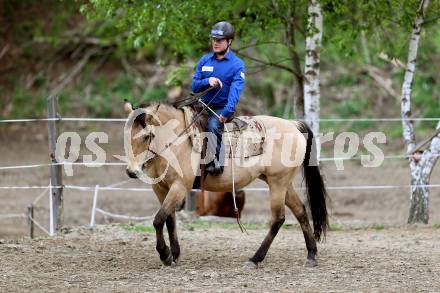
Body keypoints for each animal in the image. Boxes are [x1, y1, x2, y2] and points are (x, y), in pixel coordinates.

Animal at [122, 101, 328, 268]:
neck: (176, 142)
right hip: (283, 183)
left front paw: (165, 255)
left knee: (278, 218)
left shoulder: (180, 186)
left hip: (278, 183)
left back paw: (254, 259)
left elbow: (158, 219)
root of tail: (293, 125)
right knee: (300, 211)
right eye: (126, 134)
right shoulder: (160, 188)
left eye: (147, 135)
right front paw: (174, 255)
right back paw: (311, 255)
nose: (132, 171)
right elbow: (169, 219)